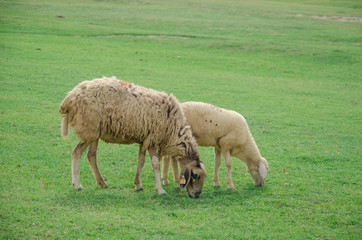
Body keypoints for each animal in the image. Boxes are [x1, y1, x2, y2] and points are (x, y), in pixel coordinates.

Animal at [59, 78, 206, 198]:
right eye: (195, 175)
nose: (196, 195)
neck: (174, 131)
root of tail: (69, 99)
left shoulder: (144, 139)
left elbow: (140, 161)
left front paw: (138, 185)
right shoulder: (152, 139)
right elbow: (155, 164)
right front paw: (160, 190)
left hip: (94, 132)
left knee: (91, 155)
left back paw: (102, 183)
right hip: (89, 129)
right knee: (76, 153)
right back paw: (77, 185)